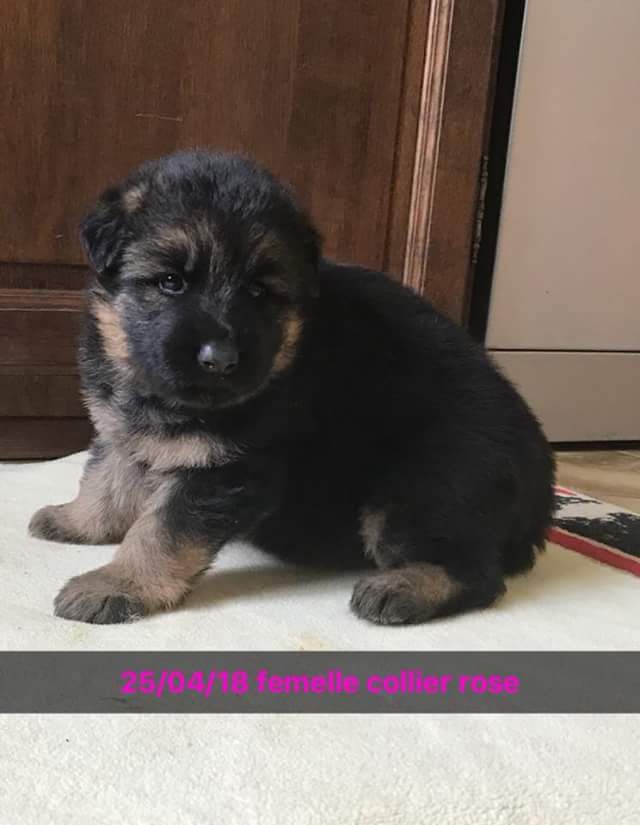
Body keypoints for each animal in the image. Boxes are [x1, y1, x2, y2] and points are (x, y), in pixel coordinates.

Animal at [29, 150, 555, 625]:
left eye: (260, 291)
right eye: (171, 282)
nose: (219, 360)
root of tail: (541, 474)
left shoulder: (224, 470)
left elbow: (162, 531)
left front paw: (119, 583)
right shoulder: (123, 429)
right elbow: (107, 477)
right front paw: (78, 520)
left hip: (418, 491)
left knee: (478, 573)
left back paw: (401, 588)